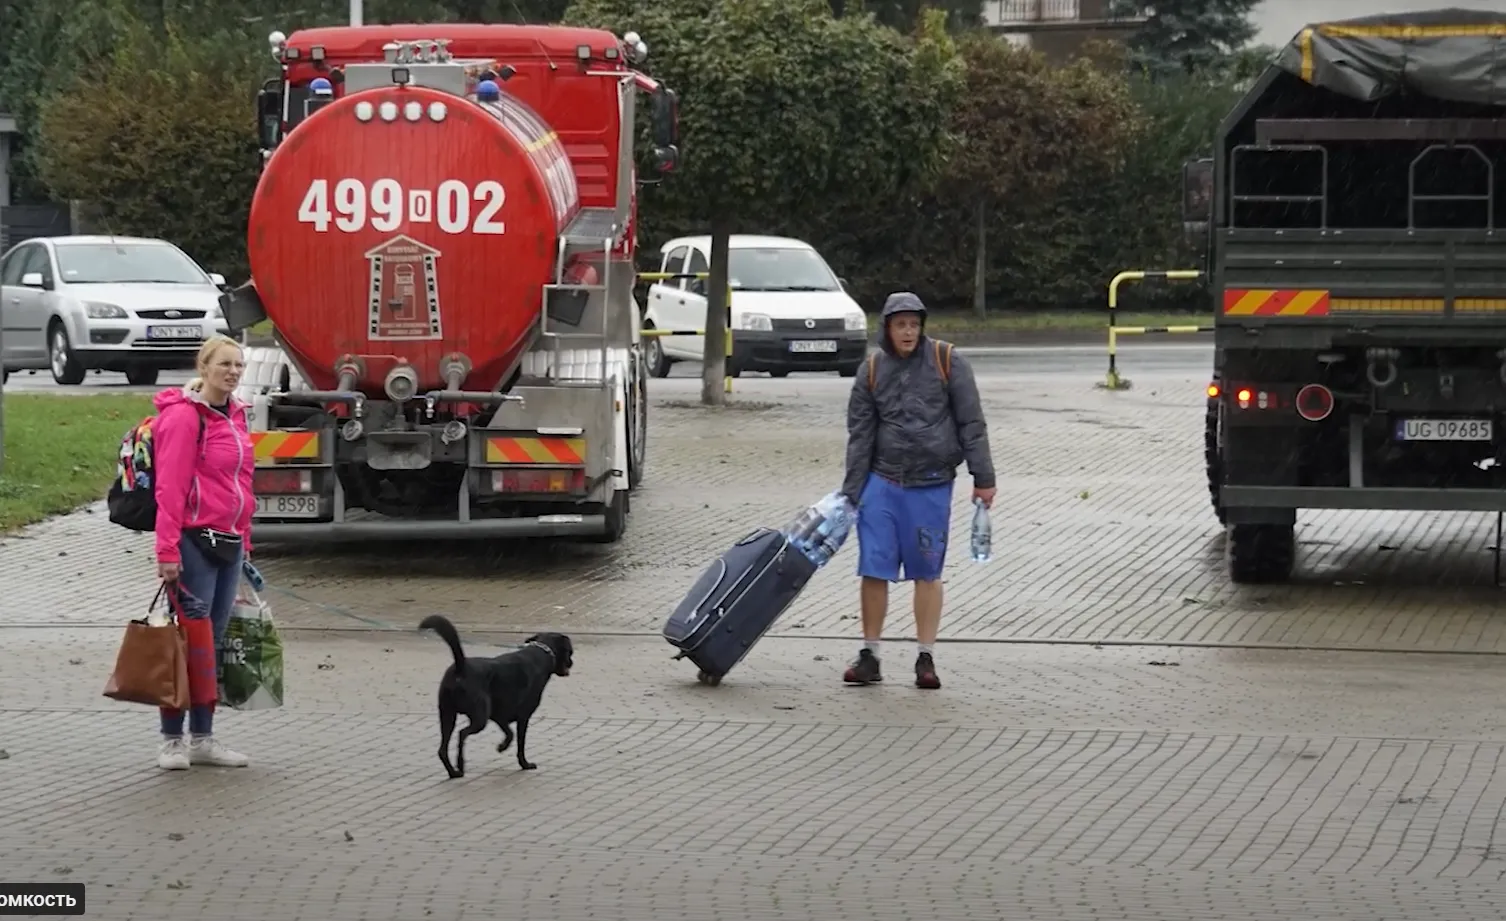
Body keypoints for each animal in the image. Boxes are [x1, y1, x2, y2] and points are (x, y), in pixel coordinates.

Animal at [421, 610, 572, 776]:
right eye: (570, 652)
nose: (572, 663)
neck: (541, 653)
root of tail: (461, 667)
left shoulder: (499, 715)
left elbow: (509, 733)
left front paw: (502, 746)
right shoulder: (523, 716)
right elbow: (519, 741)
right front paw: (523, 763)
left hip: (447, 715)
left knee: (442, 749)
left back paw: (453, 772)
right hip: (479, 716)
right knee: (462, 734)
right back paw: (460, 764)